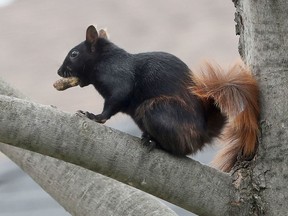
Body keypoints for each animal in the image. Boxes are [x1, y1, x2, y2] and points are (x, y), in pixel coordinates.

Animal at [55, 24, 258, 172]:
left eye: (74, 54)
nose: (59, 71)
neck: (105, 60)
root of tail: (202, 135)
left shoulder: (119, 80)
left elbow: (113, 103)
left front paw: (94, 117)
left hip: (155, 109)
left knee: (179, 150)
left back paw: (156, 143)